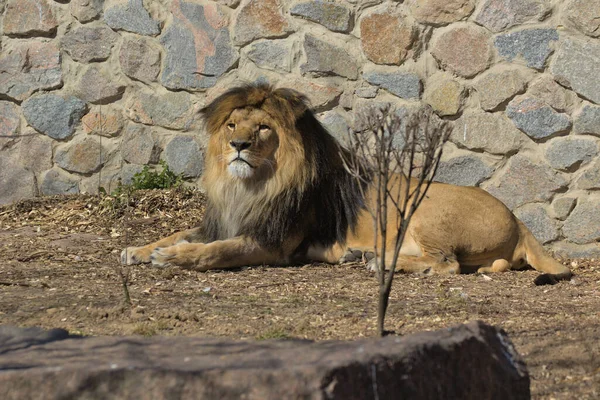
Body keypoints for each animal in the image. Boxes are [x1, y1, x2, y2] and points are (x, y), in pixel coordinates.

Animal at [120, 83, 572, 284]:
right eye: (232, 124)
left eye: (263, 128)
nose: (238, 145)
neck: (250, 186)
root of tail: (518, 219)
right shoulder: (225, 220)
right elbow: (179, 232)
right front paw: (137, 250)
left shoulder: (272, 243)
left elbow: (216, 251)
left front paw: (173, 258)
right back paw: (367, 256)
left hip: (426, 210)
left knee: (448, 264)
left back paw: (377, 262)